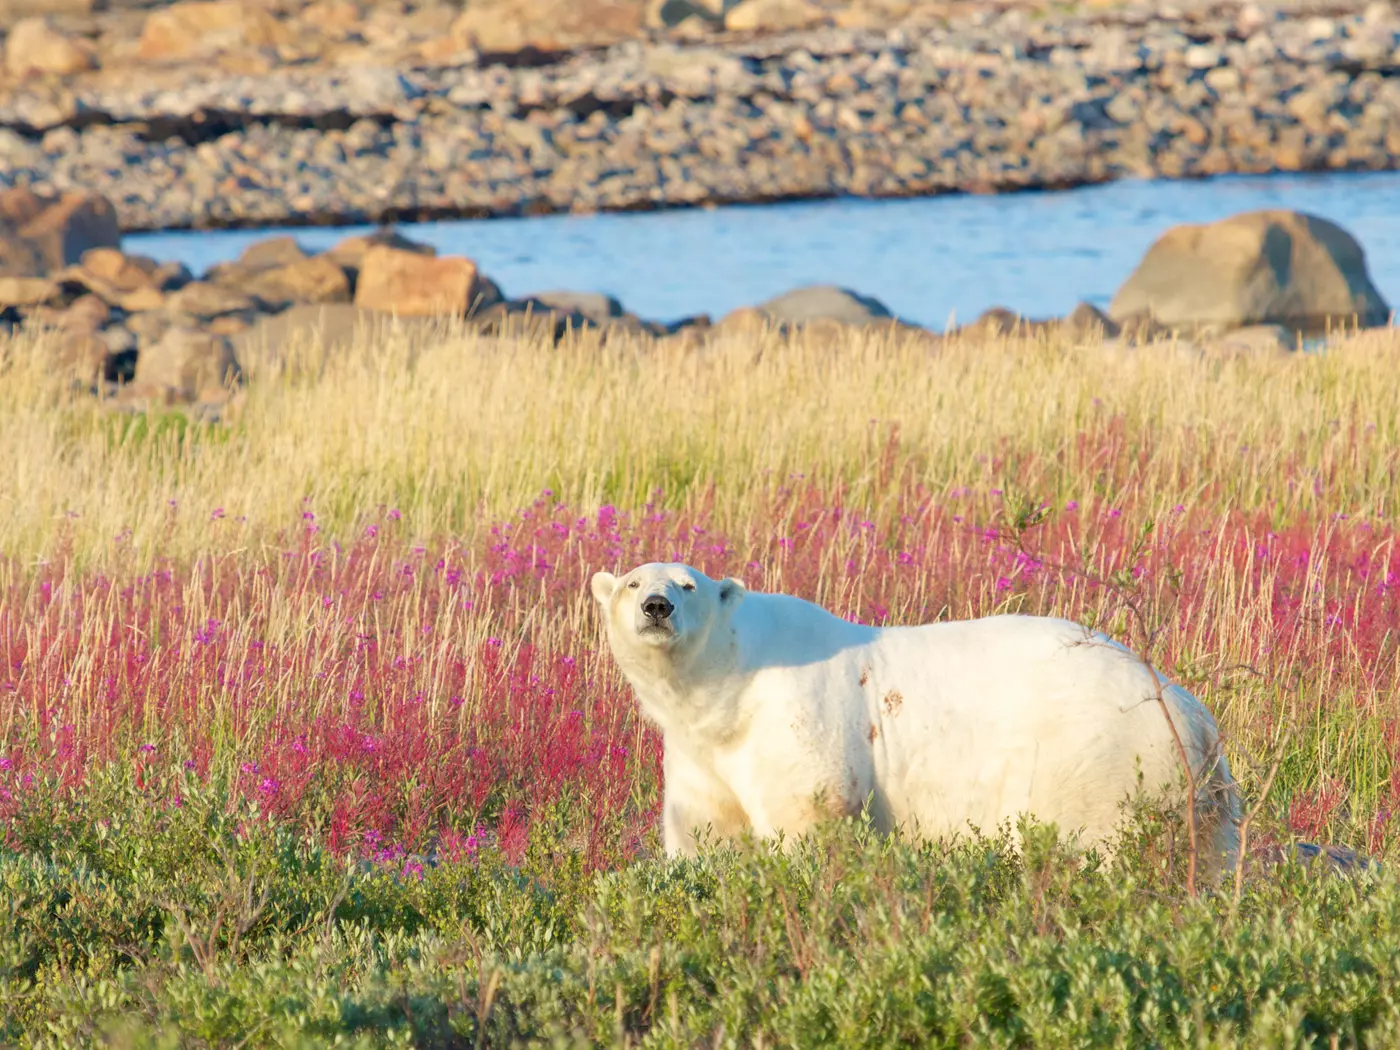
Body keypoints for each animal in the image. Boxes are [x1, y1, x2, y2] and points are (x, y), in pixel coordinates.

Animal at [591, 561, 1241, 875]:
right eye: (631, 582)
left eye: (687, 584)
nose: (656, 606)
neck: (730, 683)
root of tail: (1194, 715)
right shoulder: (703, 753)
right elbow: (704, 834)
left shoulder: (797, 721)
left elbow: (809, 820)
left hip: (1102, 760)